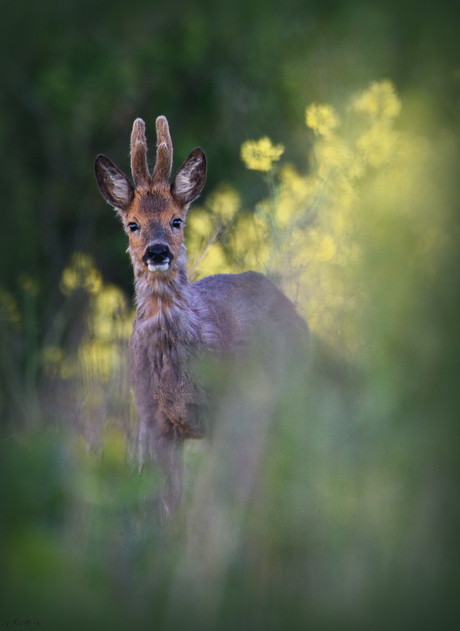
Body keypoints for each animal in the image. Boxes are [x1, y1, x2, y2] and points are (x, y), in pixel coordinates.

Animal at [95, 116, 308, 516]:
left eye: (177, 220)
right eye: (133, 223)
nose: (157, 252)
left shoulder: (222, 412)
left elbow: (214, 497)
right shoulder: (155, 420)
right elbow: (171, 501)